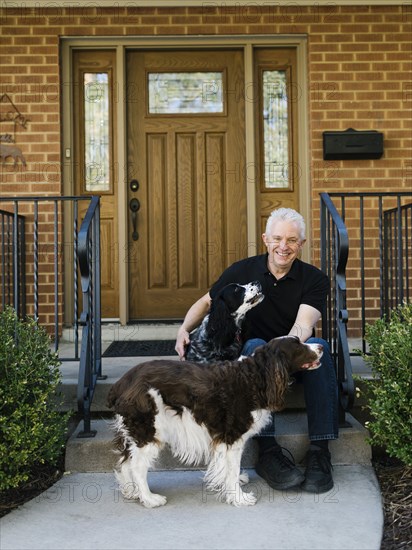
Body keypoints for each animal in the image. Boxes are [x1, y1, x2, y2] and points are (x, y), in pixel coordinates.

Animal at [105, 338, 322, 512]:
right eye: (298, 345)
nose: (321, 346)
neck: (255, 376)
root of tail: (121, 384)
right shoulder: (233, 437)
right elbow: (232, 468)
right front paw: (239, 497)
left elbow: (228, 468)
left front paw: (236, 482)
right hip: (149, 430)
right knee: (137, 466)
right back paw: (149, 499)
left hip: (133, 432)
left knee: (125, 461)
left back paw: (132, 492)